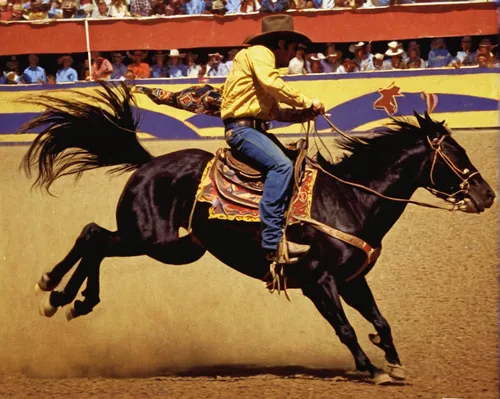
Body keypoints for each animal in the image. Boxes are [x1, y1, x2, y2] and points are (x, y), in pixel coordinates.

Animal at [21, 83, 494, 386]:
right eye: (455, 155)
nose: (487, 194)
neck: (350, 199)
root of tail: (149, 162)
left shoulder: (352, 279)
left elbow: (381, 321)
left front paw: (394, 363)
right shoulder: (319, 281)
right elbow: (345, 328)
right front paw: (372, 368)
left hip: (178, 246)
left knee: (95, 238)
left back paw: (66, 299)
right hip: (157, 242)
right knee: (94, 237)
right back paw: (57, 292)